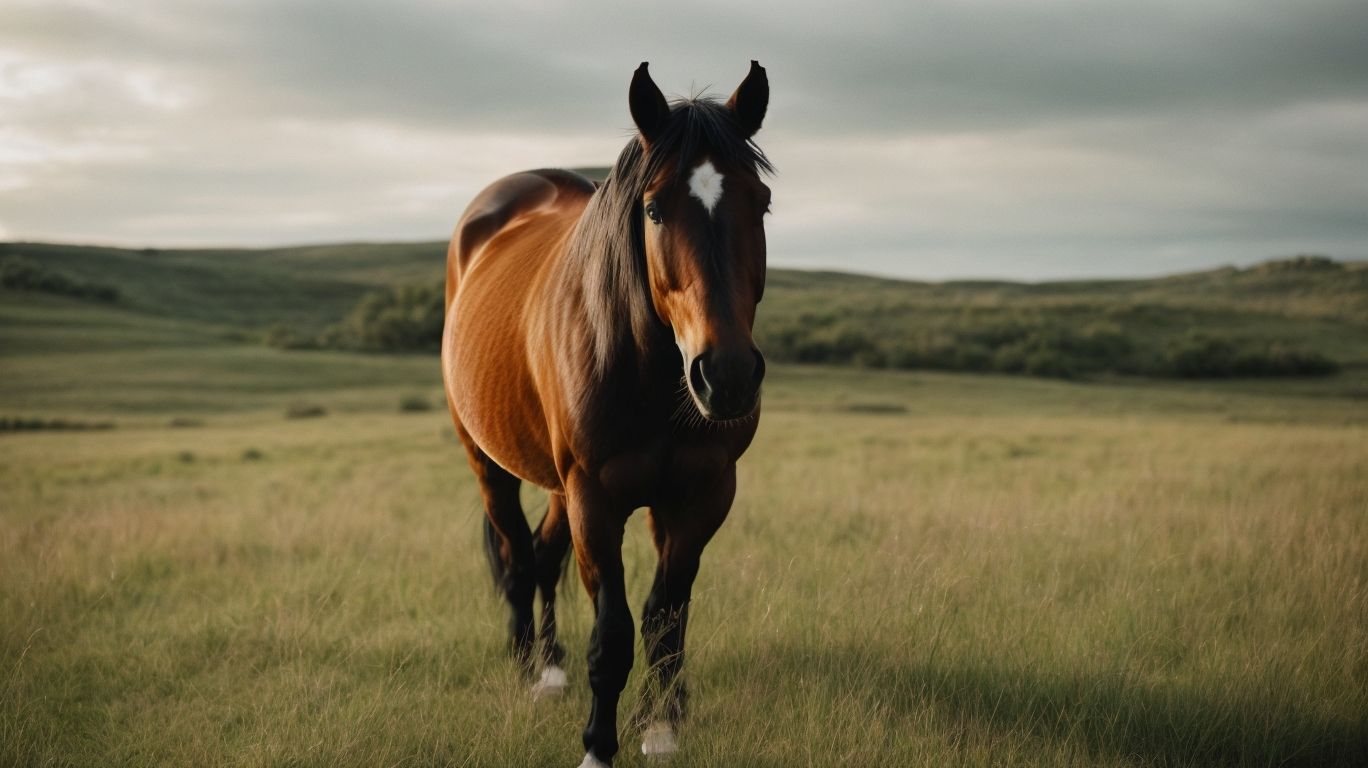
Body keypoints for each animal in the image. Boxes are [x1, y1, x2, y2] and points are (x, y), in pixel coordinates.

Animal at [441, 61, 772, 767]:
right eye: (653, 208)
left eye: (759, 203)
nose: (727, 375)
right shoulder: (595, 499)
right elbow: (614, 634)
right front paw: (598, 746)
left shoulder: (701, 495)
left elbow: (665, 618)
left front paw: (662, 728)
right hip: (488, 461)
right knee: (517, 556)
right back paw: (527, 670)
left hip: (563, 484)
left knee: (544, 556)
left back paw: (554, 670)